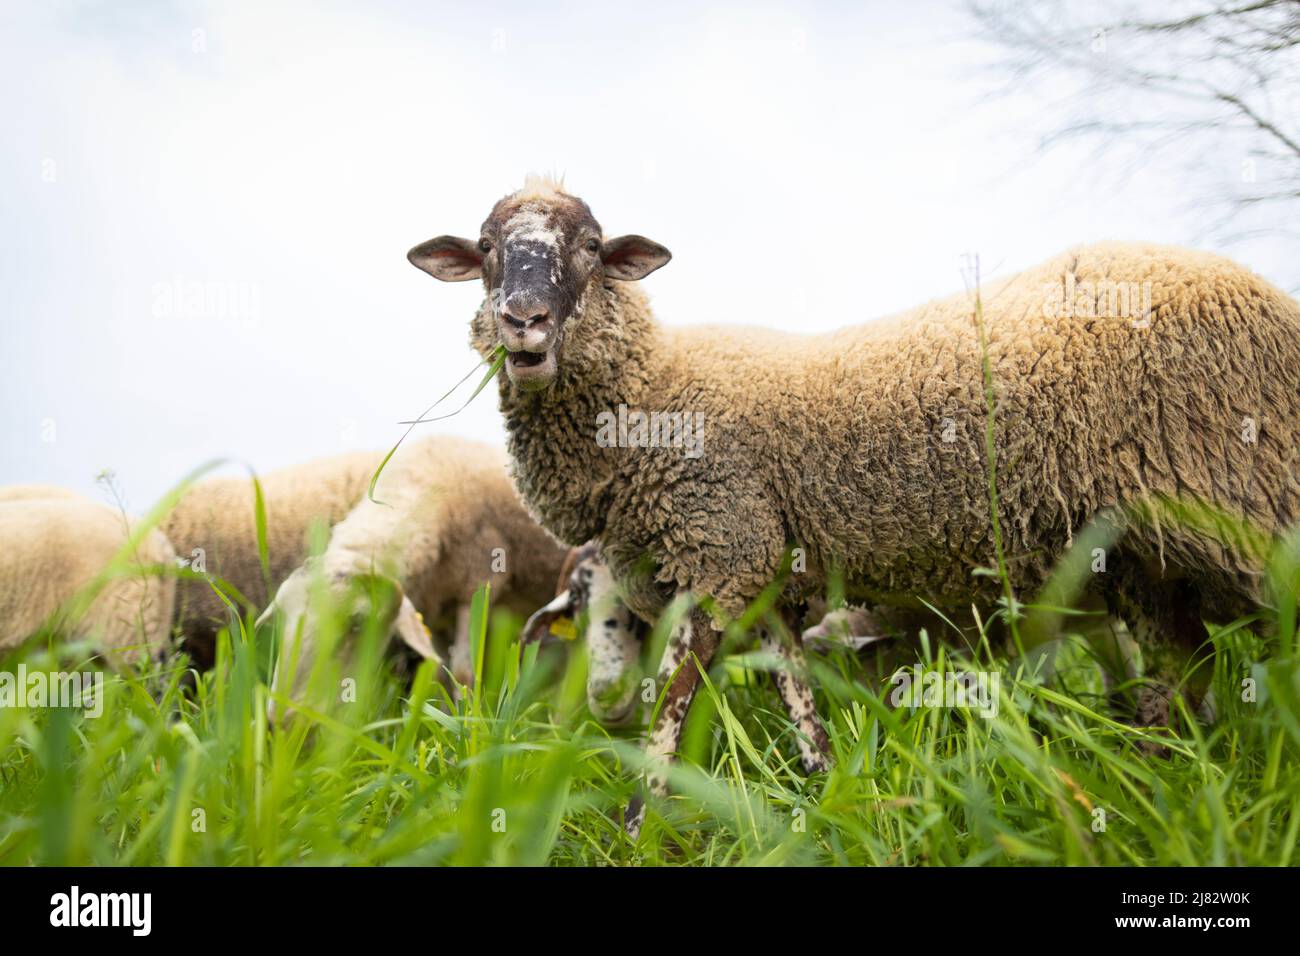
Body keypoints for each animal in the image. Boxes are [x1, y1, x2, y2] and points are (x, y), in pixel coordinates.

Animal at [409, 176, 1300, 835]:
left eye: (591, 249)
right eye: (486, 251)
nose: (523, 323)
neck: (651, 388)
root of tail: (1265, 295)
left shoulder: (718, 544)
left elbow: (672, 700)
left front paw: (638, 823)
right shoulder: (762, 566)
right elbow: (795, 689)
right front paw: (826, 789)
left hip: (1254, 506)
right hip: (1147, 558)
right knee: (1185, 666)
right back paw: (1159, 773)